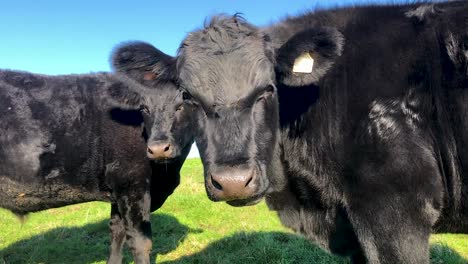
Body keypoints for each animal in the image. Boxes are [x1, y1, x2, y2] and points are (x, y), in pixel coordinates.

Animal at [0, 45, 194, 264]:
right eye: (144, 107)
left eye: (184, 102)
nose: (158, 148)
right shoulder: (132, 184)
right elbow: (140, 242)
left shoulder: (118, 193)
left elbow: (117, 233)